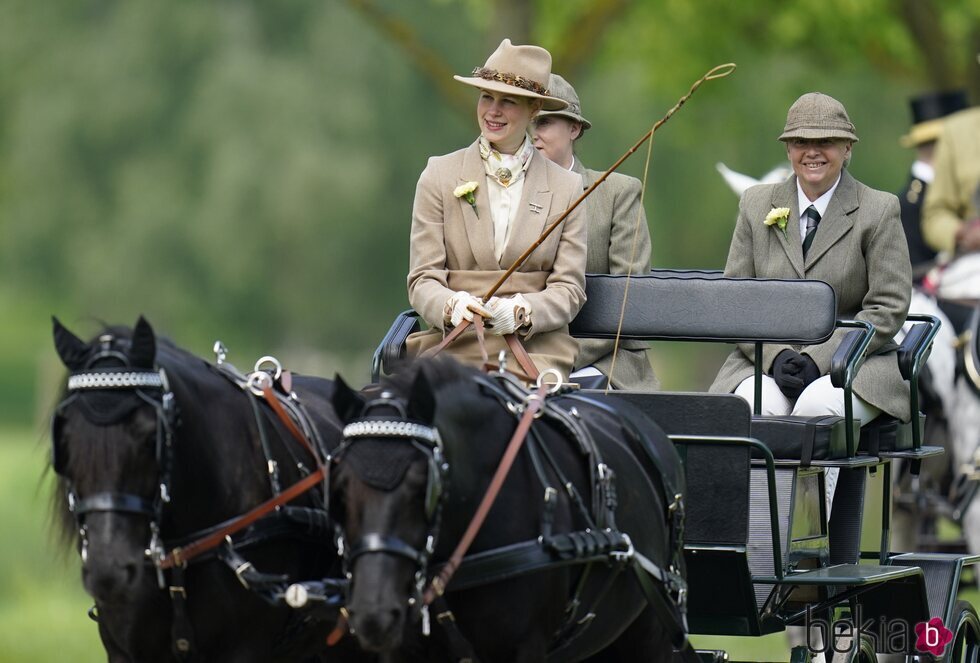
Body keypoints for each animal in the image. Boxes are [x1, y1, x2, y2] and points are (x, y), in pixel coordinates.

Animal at [330, 358, 688, 663]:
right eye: (340, 487)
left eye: (424, 487)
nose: (373, 614)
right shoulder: (403, 650)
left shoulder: (524, 647)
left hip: (650, 633)